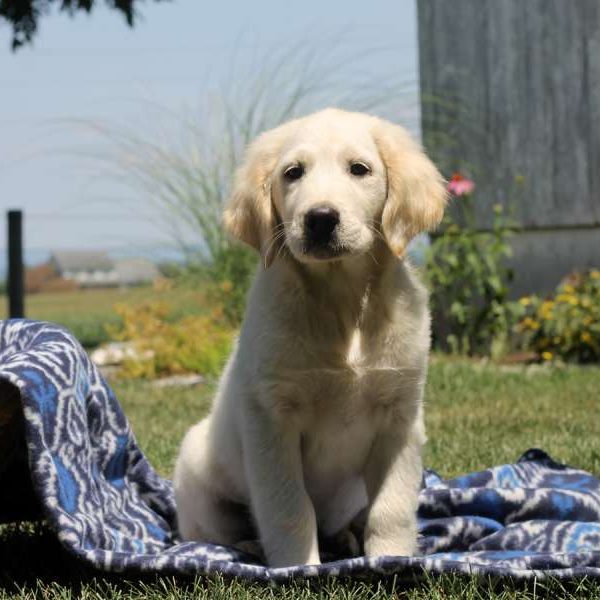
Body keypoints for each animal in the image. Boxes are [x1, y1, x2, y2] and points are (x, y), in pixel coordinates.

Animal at [173, 109, 446, 568]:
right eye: (293, 173)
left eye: (359, 169)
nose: (319, 218)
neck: (342, 304)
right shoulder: (272, 418)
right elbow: (288, 507)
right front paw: (298, 568)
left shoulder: (401, 417)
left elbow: (391, 510)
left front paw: (390, 558)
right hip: (196, 471)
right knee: (211, 532)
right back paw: (249, 545)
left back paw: (347, 538)